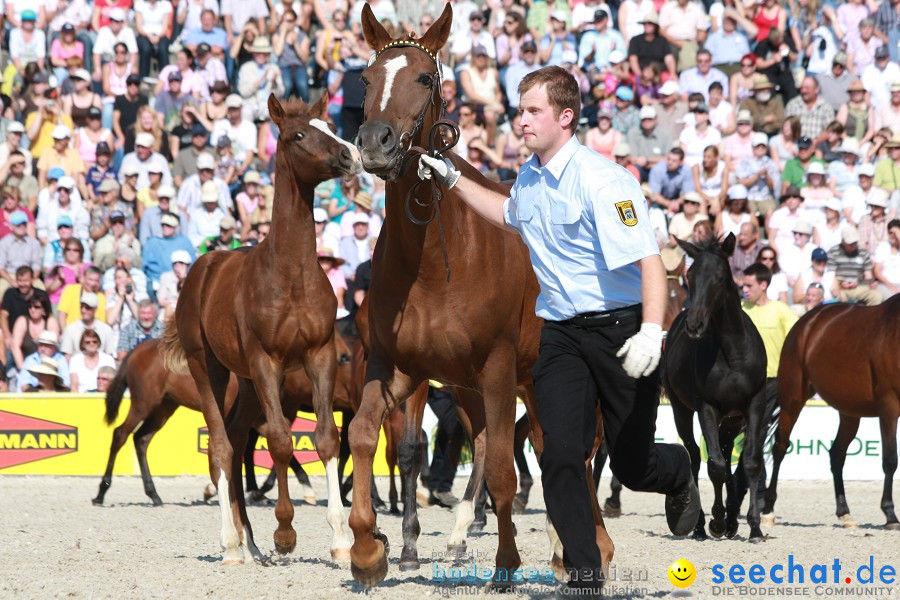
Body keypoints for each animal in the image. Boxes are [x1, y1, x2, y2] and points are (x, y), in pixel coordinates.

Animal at [92, 336, 356, 508]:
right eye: (343, 357)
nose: (351, 393)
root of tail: (136, 351)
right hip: (144, 403)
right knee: (120, 434)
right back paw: (101, 492)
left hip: (164, 407)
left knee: (141, 438)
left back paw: (153, 494)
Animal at [162, 95, 362, 568]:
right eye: (298, 135)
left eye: (330, 126)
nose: (350, 155)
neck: (291, 272)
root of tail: (201, 269)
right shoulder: (266, 360)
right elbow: (281, 442)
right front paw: (285, 533)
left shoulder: (320, 354)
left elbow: (326, 439)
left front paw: (341, 541)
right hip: (210, 368)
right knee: (221, 446)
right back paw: (232, 545)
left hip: (249, 383)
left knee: (237, 441)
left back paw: (249, 541)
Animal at [344, 3, 612, 584]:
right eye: (366, 79)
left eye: (425, 78)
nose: (375, 143)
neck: (432, 264)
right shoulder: (397, 367)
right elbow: (365, 434)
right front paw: (368, 548)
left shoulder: (496, 367)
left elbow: (503, 472)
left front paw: (506, 563)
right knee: (536, 445)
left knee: (570, 453)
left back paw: (582, 550)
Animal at [668, 236, 768, 544]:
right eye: (690, 276)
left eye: (720, 278)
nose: (695, 324)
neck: (732, 354)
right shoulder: (706, 407)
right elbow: (715, 465)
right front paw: (717, 521)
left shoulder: (754, 404)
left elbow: (751, 462)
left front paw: (754, 527)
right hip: (681, 409)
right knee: (695, 458)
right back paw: (702, 525)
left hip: (733, 419)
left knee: (727, 449)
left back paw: (734, 520)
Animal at [760, 296, 900, 528]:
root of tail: (807, 321)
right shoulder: (889, 406)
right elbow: (890, 459)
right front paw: (890, 515)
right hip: (792, 399)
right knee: (780, 448)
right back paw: (768, 511)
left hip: (849, 412)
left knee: (837, 454)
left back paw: (845, 513)